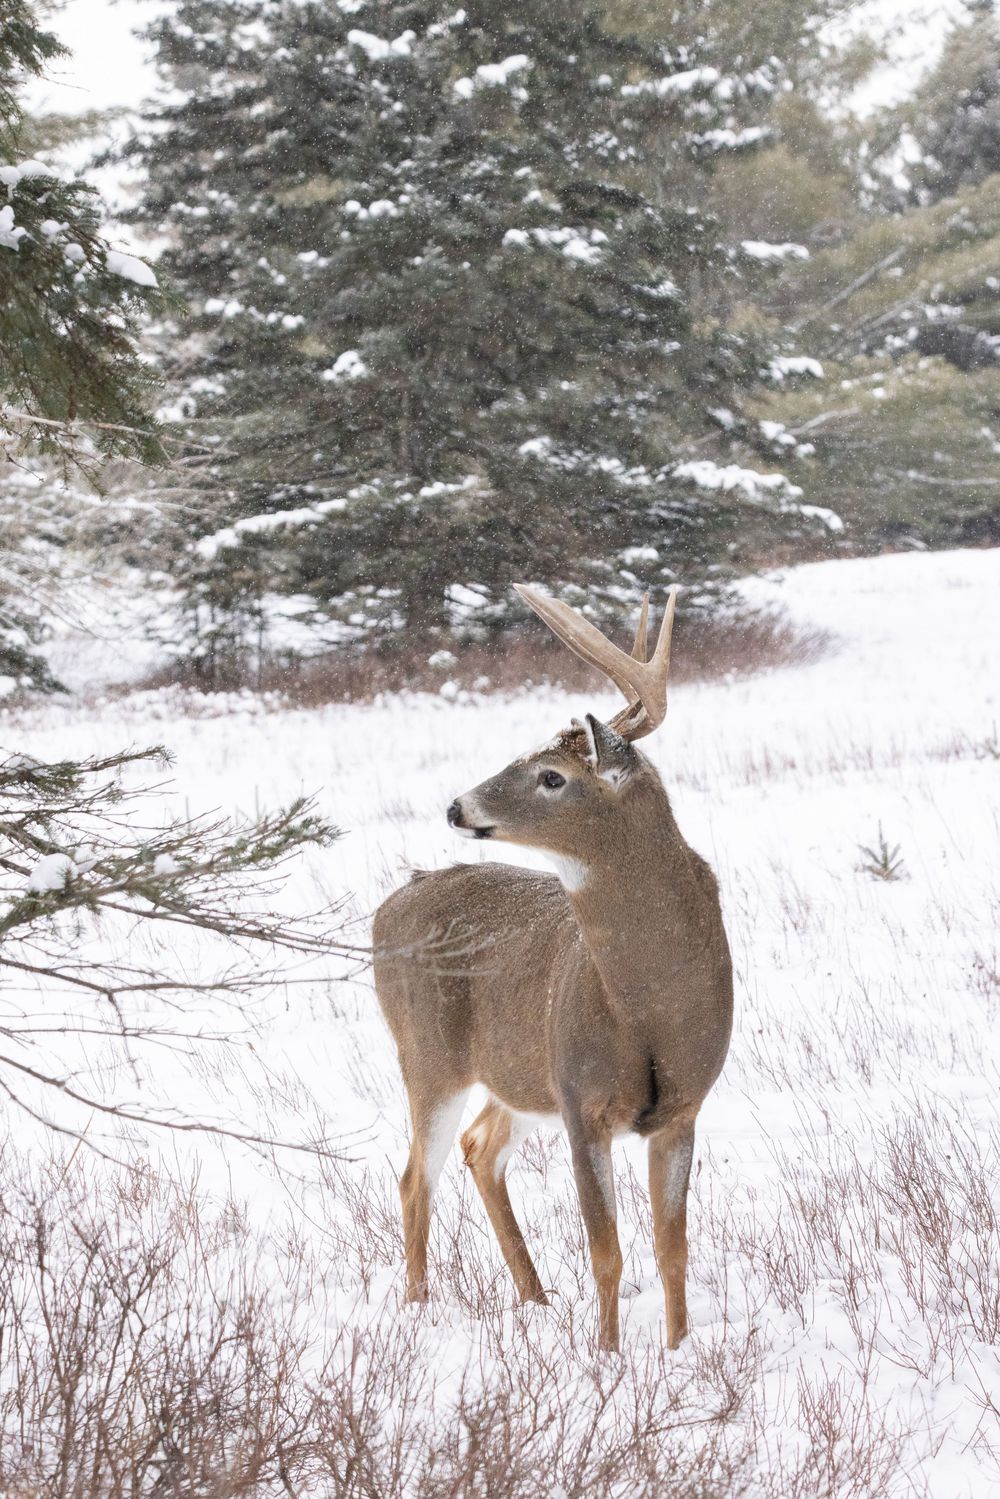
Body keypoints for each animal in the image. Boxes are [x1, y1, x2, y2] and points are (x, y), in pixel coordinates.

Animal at [372, 584, 733, 1353]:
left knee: (479, 1147)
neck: (647, 1003)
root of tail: (393, 900)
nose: (456, 806)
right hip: (427, 1052)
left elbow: (671, 1245)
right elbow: (607, 1248)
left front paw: (679, 1348)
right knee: (416, 1175)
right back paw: (418, 1308)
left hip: (515, 1075)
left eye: (551, 776)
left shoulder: (683, 1104)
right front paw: (607, 1354)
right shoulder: (580, 1095)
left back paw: (535, 1297)